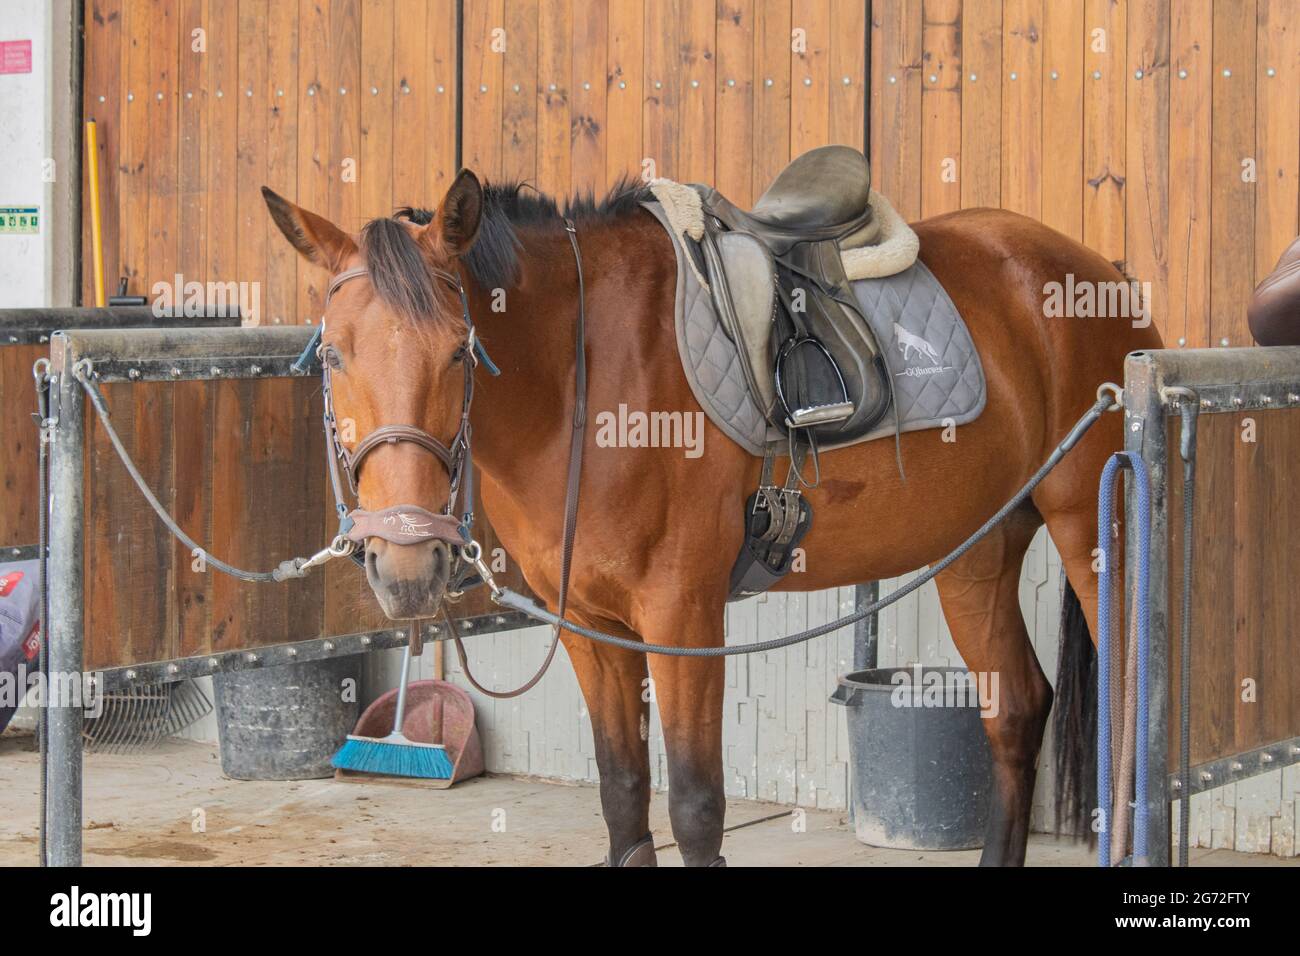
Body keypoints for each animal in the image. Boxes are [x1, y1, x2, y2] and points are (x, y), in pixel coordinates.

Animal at [263, 169, 1161, 866]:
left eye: (459, 348)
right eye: (333, 352)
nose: (405, 566)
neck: (584, 374)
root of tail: (1098, 273)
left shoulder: (681, 615)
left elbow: (695, 807)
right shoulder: (590, 624)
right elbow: (624, 797)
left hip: (1095, 535)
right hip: (979, 550)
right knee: (1016, 712)